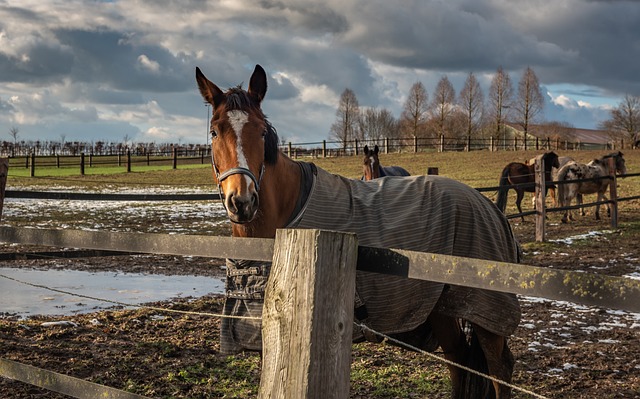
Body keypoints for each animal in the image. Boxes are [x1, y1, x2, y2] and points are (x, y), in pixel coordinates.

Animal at [195, 64, 520, 398]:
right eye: (214, 132)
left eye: (261, 132)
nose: (242, 201)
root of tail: (491, 208)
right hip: (443, 308)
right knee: (459, 361)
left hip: (487, 312)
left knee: (499, 369)